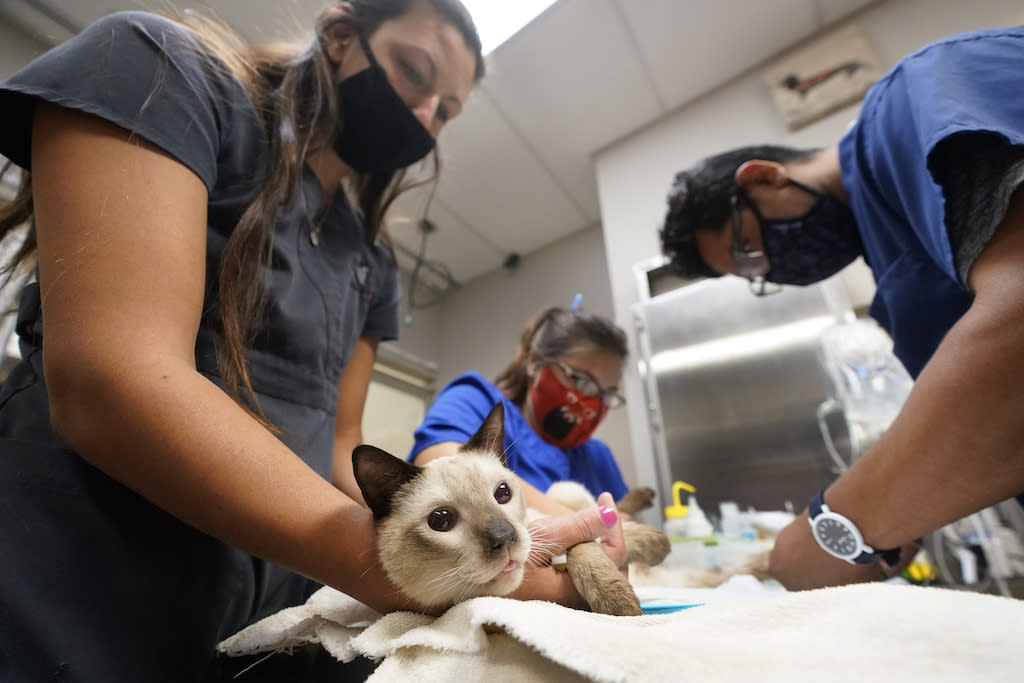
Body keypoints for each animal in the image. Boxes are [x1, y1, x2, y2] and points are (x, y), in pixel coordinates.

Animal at [352, 403, 671, 618]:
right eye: (441, 521)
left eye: (502, 493)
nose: (504, 537)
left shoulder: (543, 527)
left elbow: (585, 544)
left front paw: (621, 601)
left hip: (565, 489)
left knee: (605, 507)